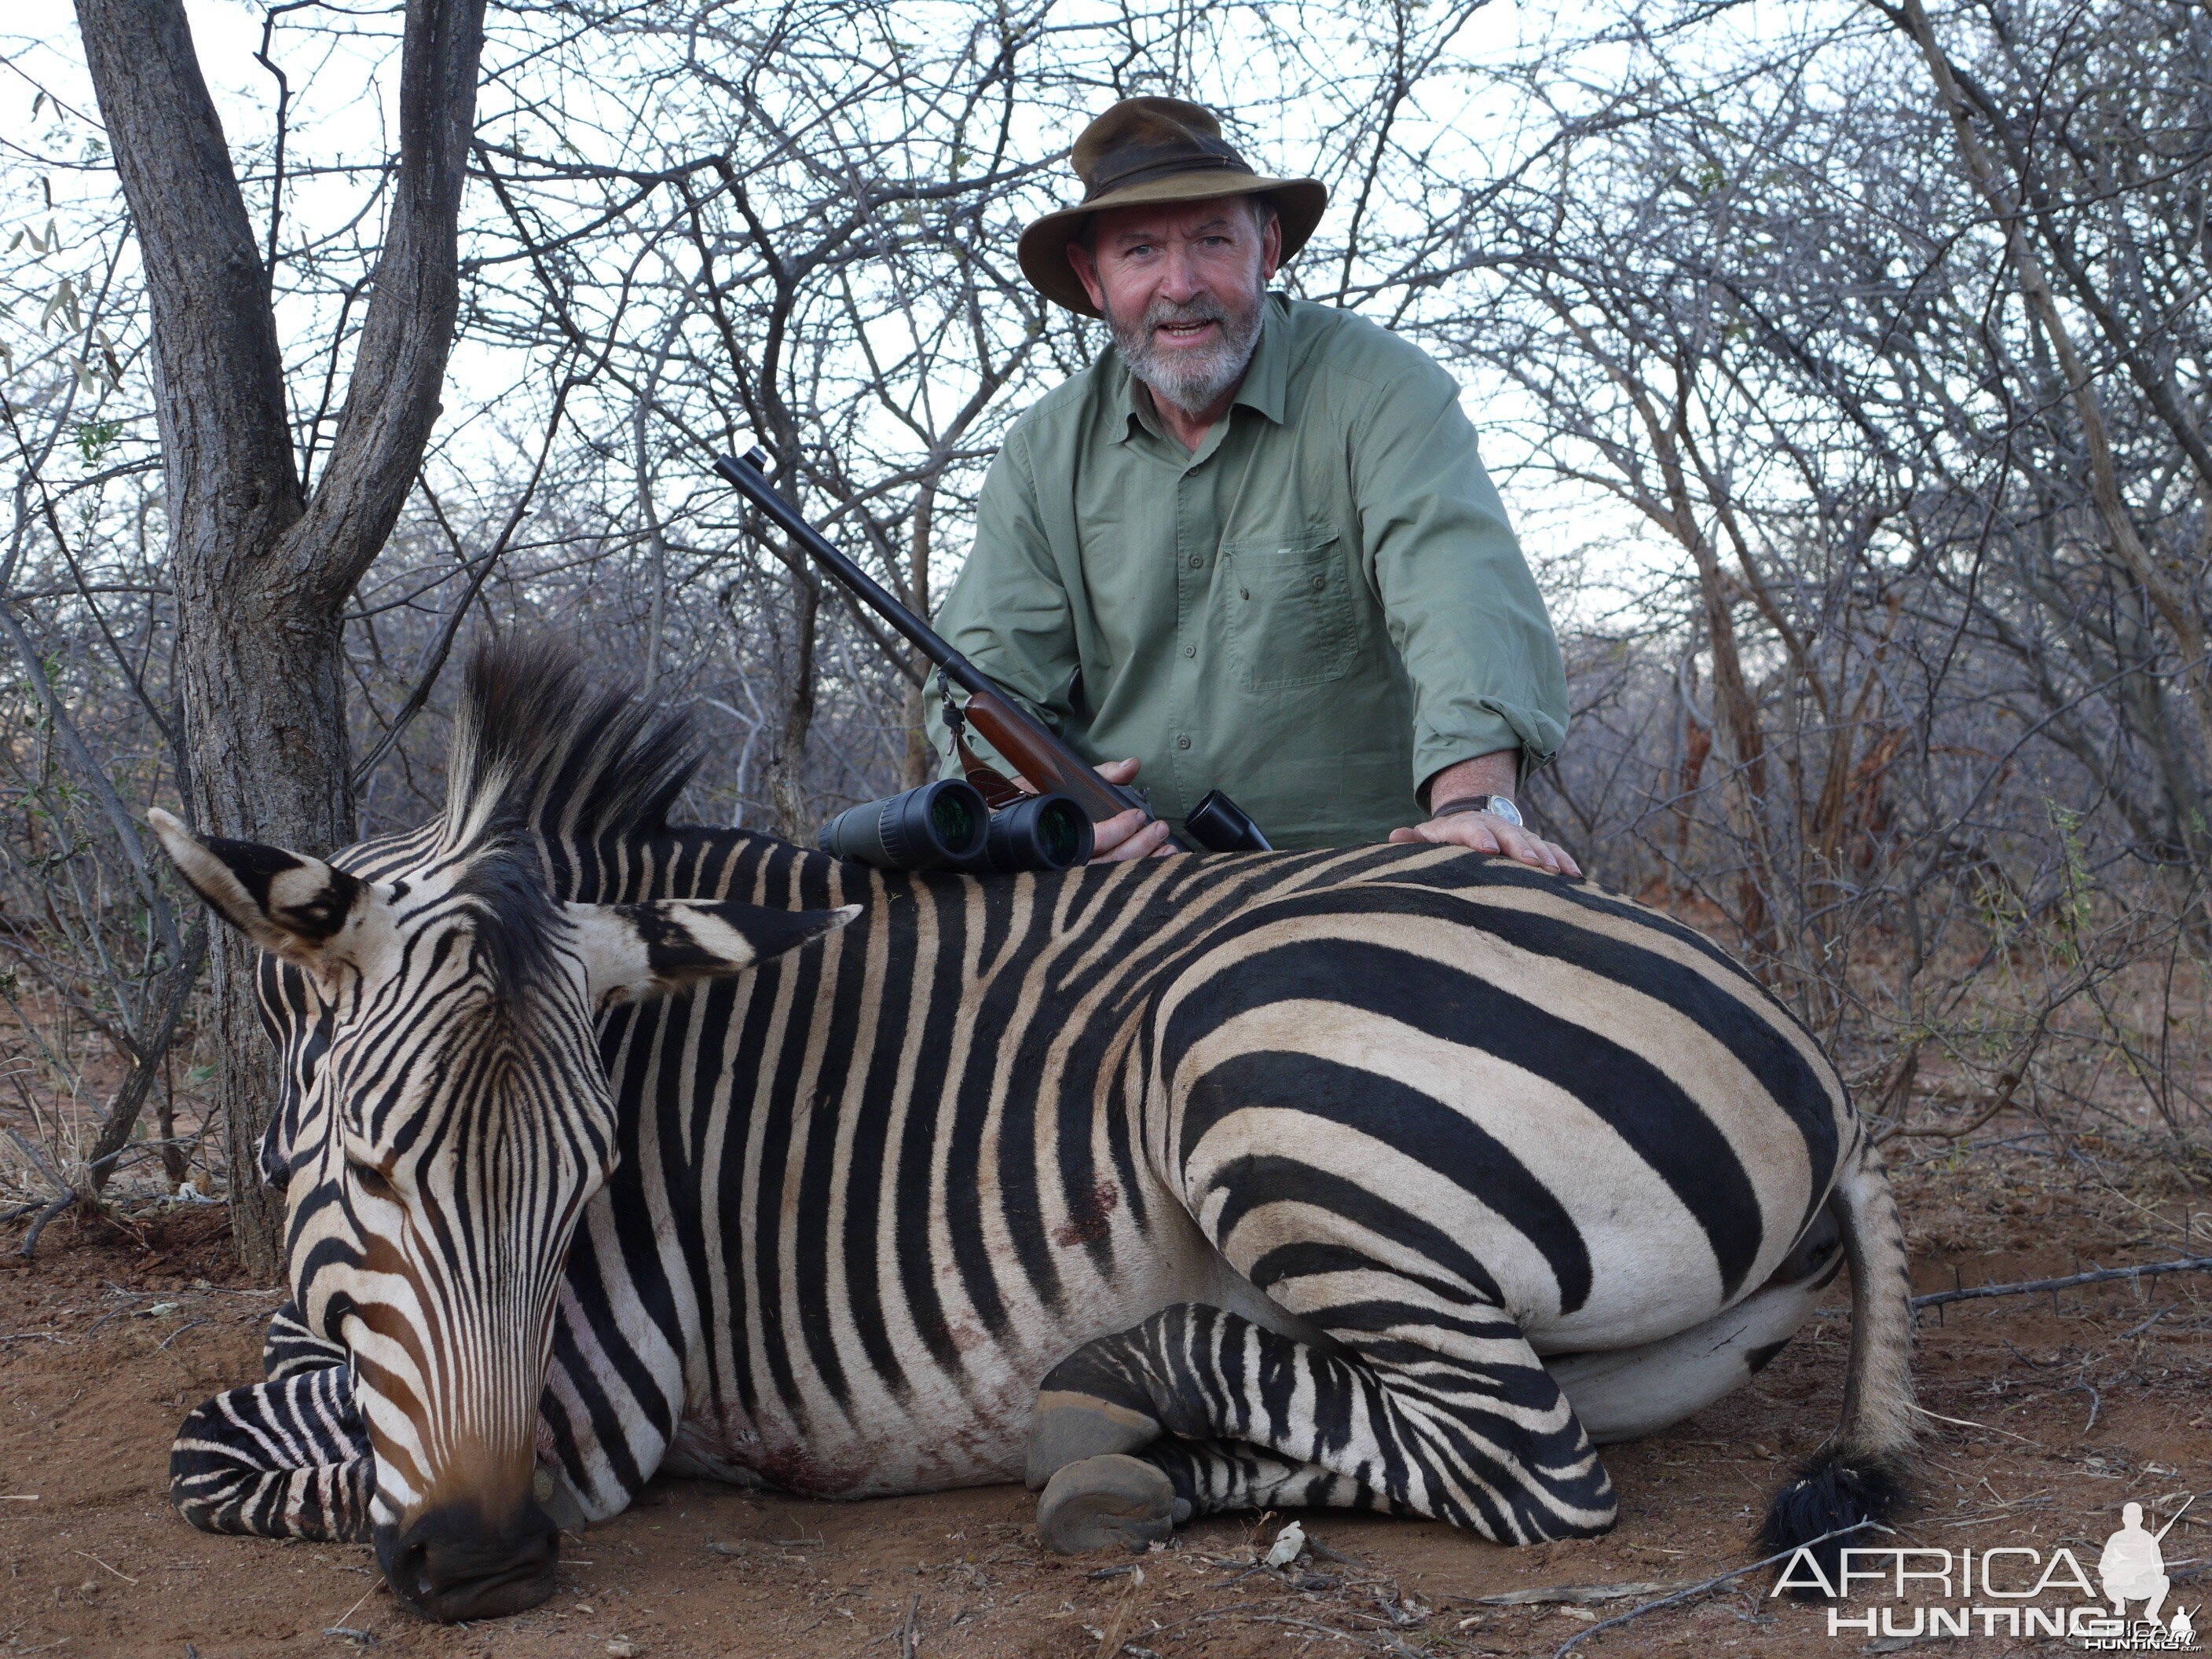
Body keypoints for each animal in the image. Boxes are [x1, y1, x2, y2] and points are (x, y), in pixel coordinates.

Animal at [156, 646, 1920, 1628]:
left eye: (594, 1189)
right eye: (363, 1168)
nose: (485, 1565)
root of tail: (1820, 1075)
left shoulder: (592, 1396)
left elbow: (221, 1451)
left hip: (1243, 1054)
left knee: (1521, 1465)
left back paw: (1108, 1403)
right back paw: (1129, 1455)